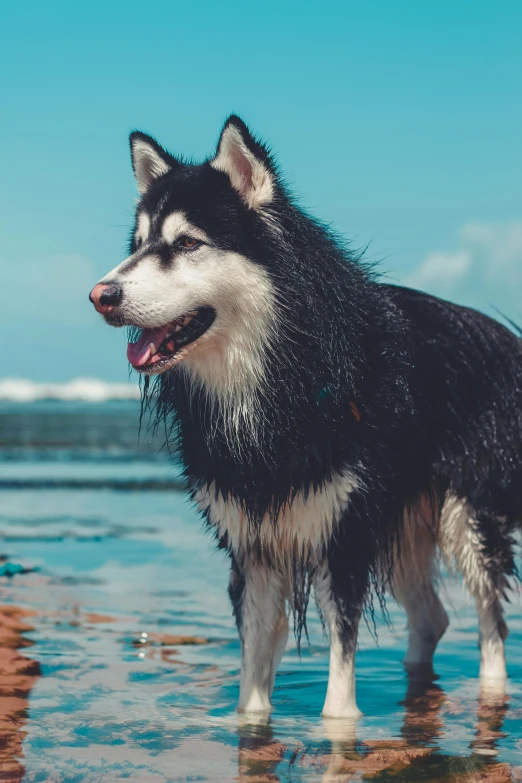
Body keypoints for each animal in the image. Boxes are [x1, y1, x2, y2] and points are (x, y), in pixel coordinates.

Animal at [90, 113, 520, 720]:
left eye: (187, 243)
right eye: (138, 245)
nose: (100, 295)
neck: (276, 379)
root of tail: (503, 337)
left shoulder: (343, 535)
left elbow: (340, 690)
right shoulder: (255, 544)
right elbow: (252, 688)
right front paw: (251, 726)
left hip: (467, 516)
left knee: (492, 627)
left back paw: (489, 696)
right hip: (402, 517)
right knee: (433, 617)